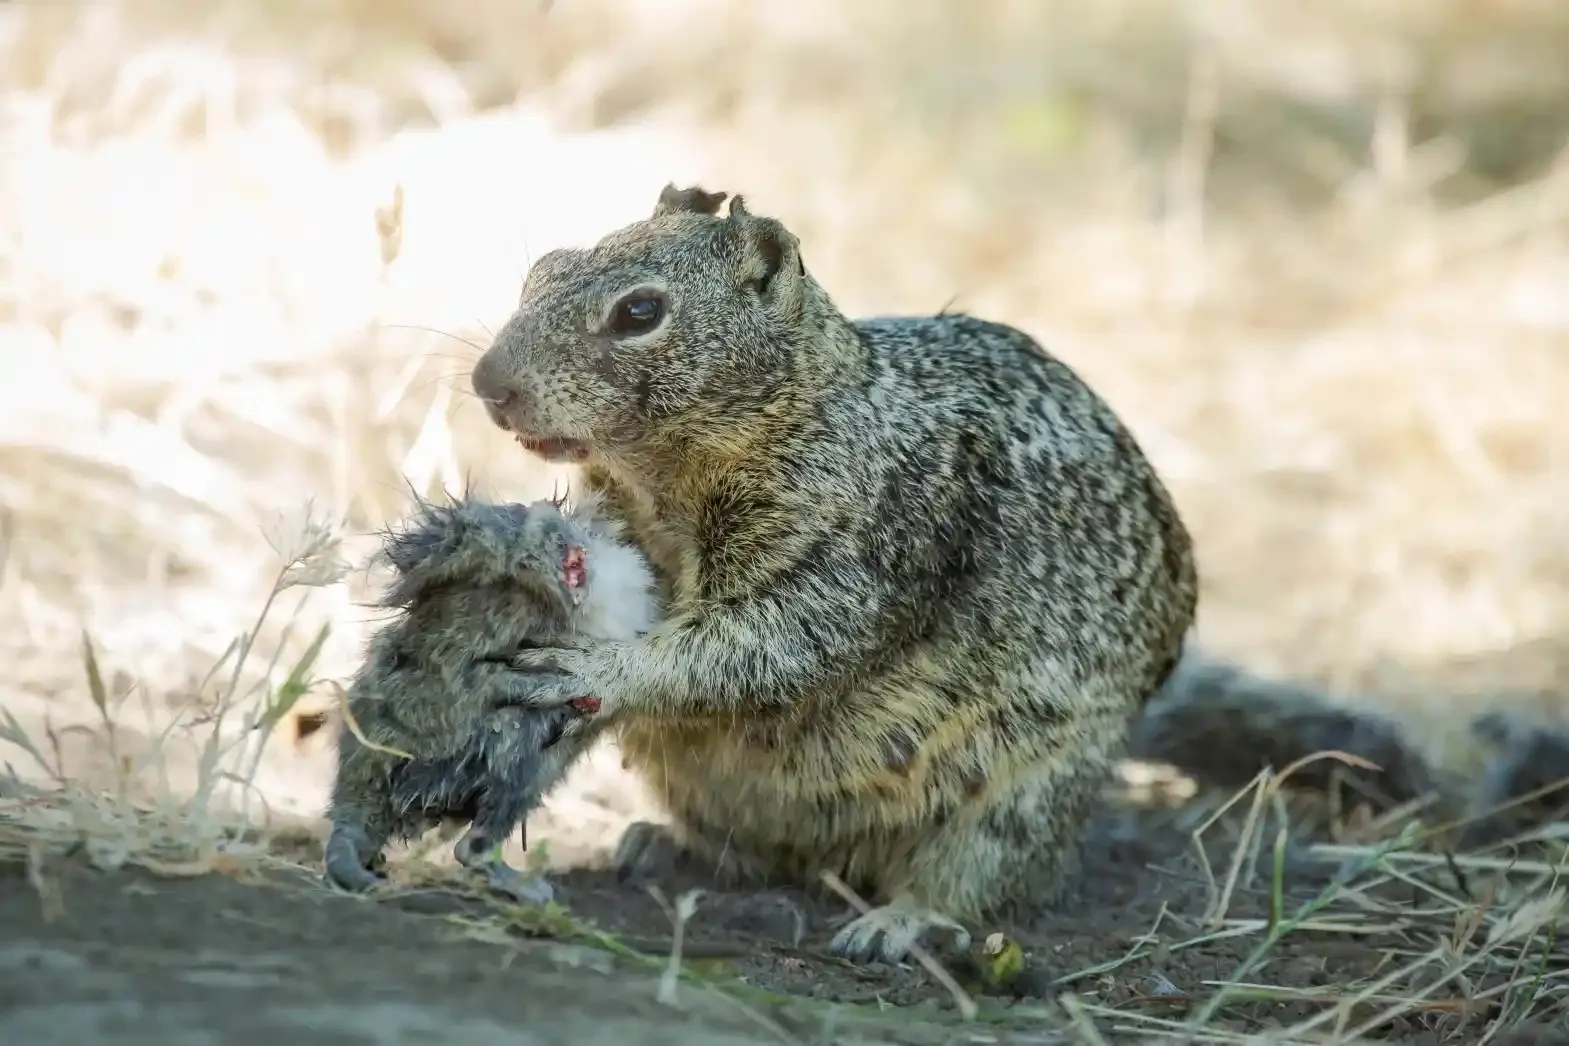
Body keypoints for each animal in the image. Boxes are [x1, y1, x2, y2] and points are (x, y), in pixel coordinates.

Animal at [470, 181, 1192, 966]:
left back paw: (898, 922)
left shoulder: (856, 555)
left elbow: (760, 648)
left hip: (1021, 798)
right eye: (542, 269)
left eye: (640, 311)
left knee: (974, 882)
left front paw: (595, 668)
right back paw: (664, 847)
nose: (487, 383)